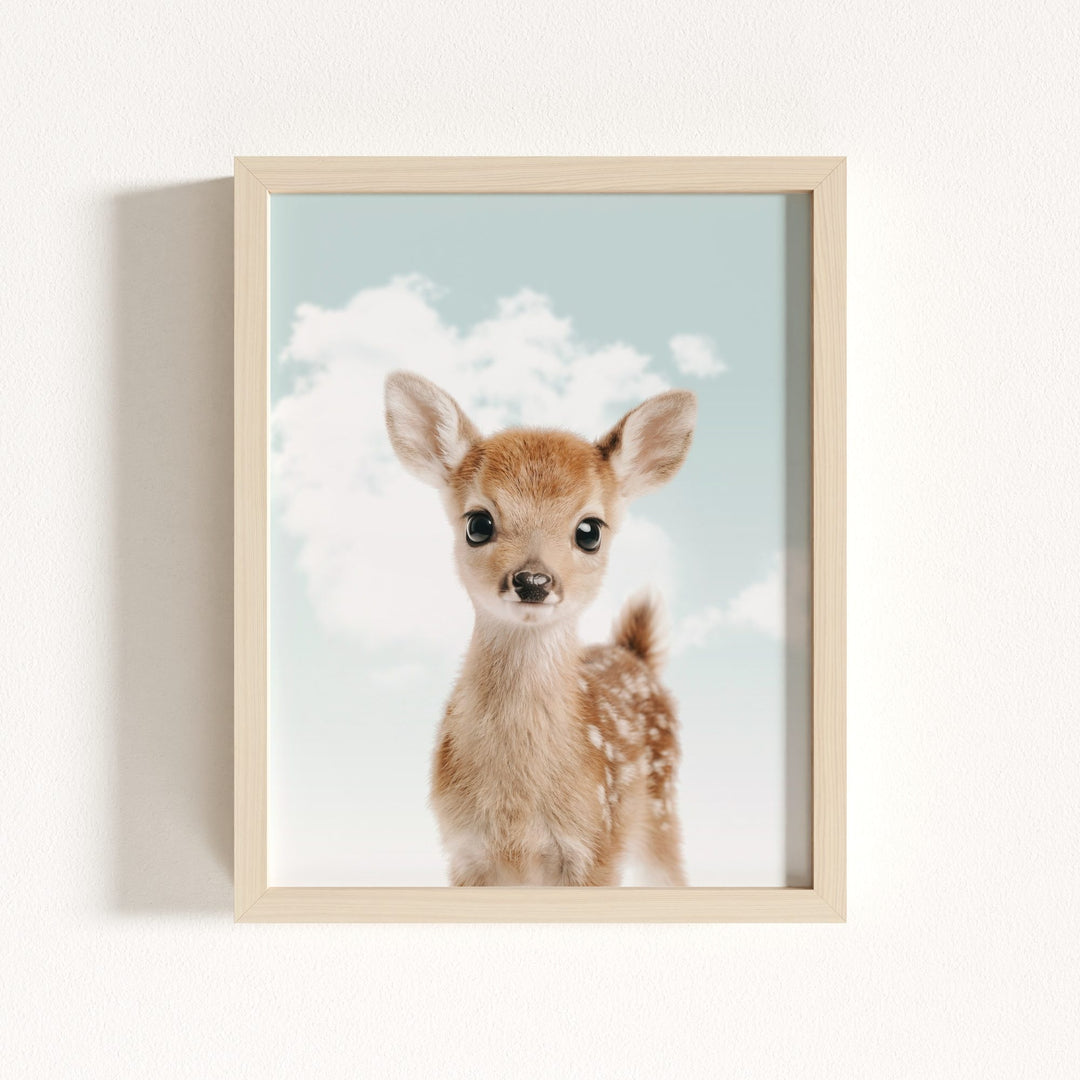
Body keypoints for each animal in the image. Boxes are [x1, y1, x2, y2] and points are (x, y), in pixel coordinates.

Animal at [384, 371, 697, 886]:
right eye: (478, 523)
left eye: (590, 531)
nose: (533, 581)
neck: (516, 812)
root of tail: (634, 653)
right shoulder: (463, 851)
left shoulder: (596, 846)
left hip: (660, 808)